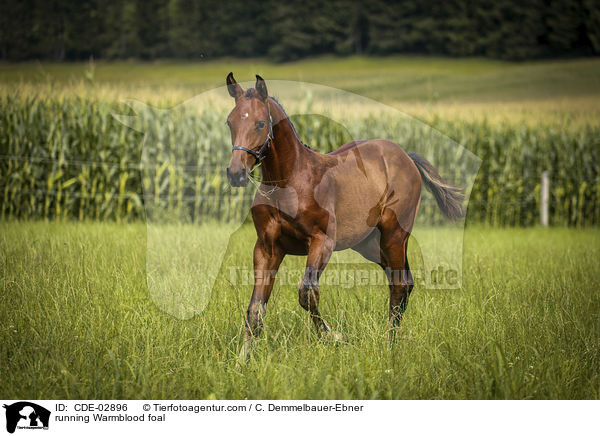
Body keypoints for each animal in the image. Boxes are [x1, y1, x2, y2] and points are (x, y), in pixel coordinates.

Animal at [225, 74, 464, 362]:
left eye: (260, 123)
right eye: (230, 121)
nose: (235, 173)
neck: (288, 182)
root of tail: (406, 156)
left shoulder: (322, 242)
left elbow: (307, 292)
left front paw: (335, 337)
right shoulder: (267, 248)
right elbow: (255, 309)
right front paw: (242, 359)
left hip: (394, 235)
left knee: (398, 285)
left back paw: (390, 346)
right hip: (370, 245)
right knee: (404, 282)